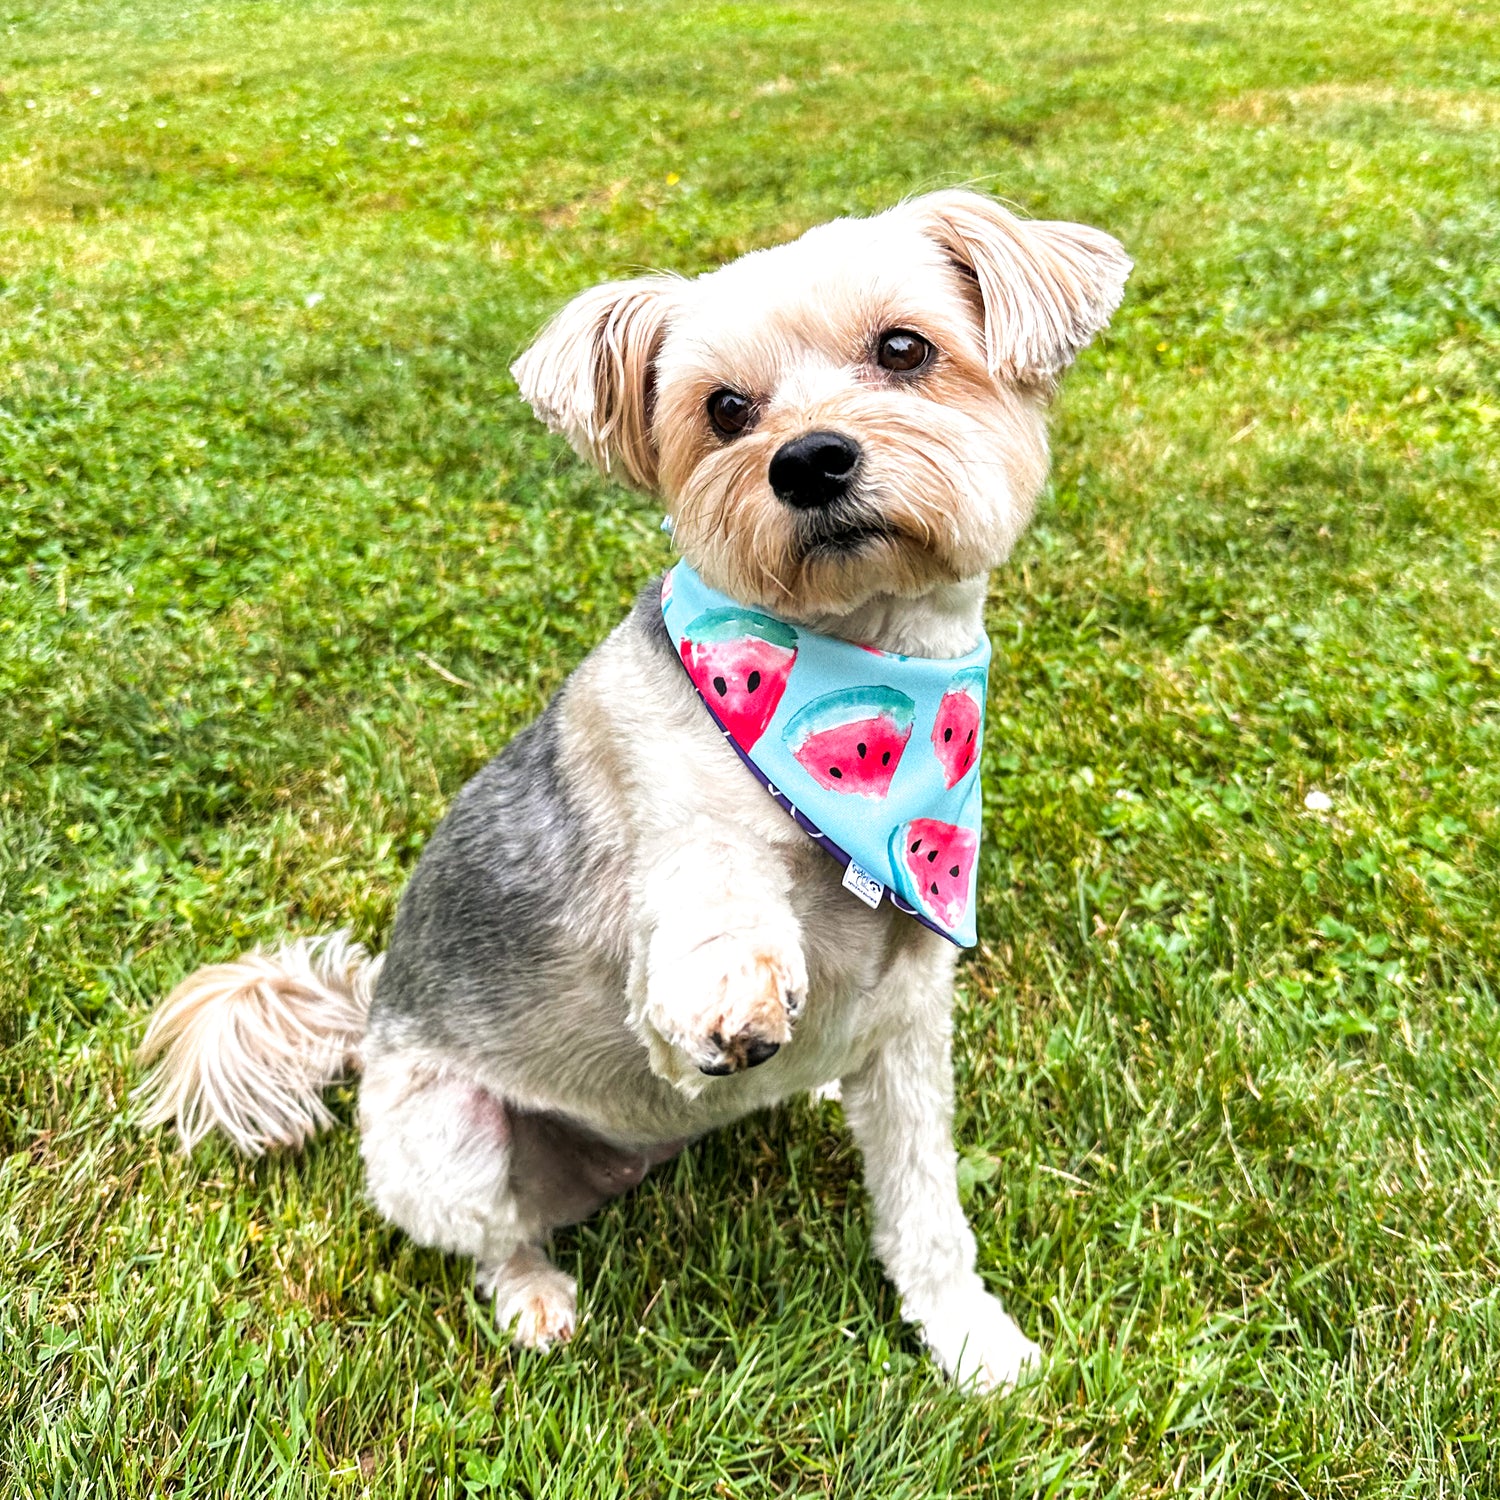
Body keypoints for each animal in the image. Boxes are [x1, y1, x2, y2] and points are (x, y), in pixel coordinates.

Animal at [138, 190, 1128, 1392]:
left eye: (904, 349)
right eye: (724, 409)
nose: (807, 461)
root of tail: (369, 1019)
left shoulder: (908, 1028)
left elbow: (926, 1215)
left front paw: (970, 1341)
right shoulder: (671, 872)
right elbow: (708, 915)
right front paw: (733, 986)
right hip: (444, 1141)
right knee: (496, 1234)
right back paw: (534, 1297)